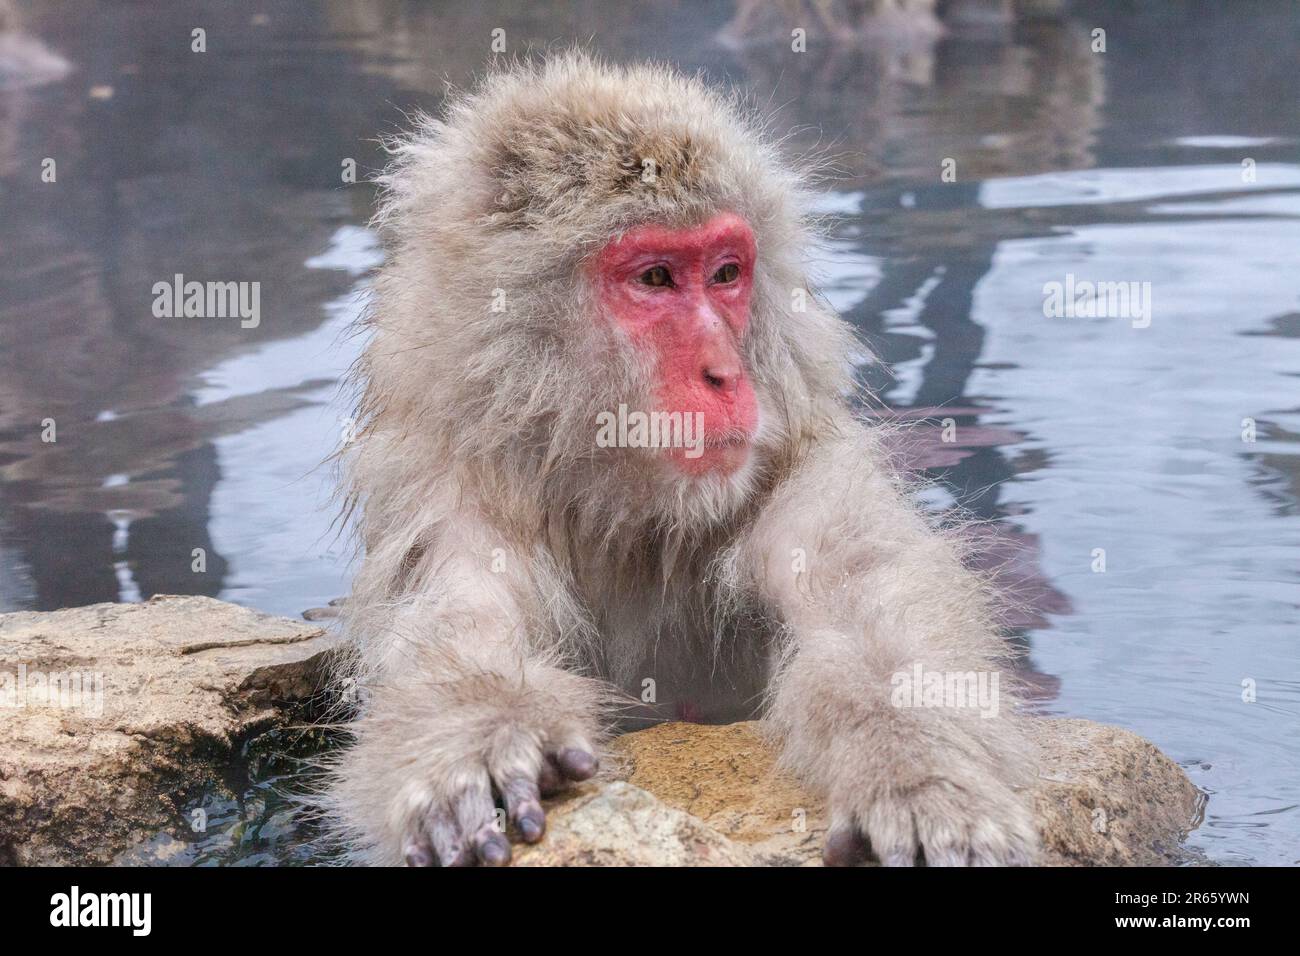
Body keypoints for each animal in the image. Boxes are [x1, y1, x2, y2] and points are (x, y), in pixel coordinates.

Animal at [330, 55, 1040, 868]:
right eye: (656, 278)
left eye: (726, 272)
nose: (725, 375)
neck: (625, 523)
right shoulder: (453, 505)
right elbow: (457, 629)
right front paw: (478, 737)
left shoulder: (799, 478)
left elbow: (868, 619)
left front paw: (920, 780)